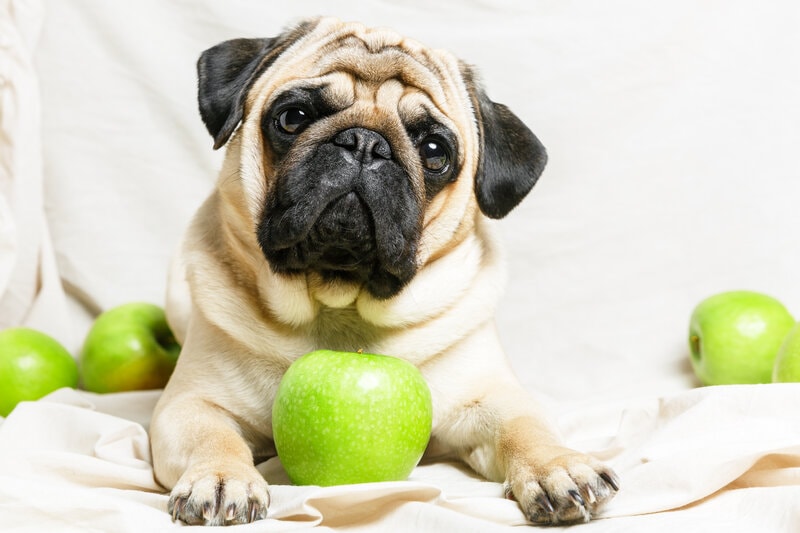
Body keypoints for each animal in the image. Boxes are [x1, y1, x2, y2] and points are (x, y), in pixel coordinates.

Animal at [153, 15, 620, 524]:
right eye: (292, 118)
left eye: (434, 151)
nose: (364, 142)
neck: (340, 302)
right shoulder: (189, 405)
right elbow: (212, 438)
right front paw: (221, 478)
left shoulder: (492, 398)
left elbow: (527, 428)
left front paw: (560, 467)